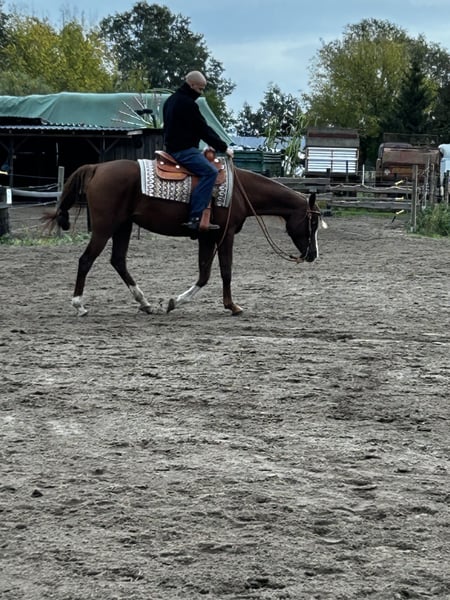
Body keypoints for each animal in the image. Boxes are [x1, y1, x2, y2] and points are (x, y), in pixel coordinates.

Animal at [43, 157, 325, 316]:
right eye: (312, 222)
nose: (313, 255)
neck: (240, 190)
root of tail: (97, 167)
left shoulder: (206, 237)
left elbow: (204, 274)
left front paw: (172, 303)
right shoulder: (225, 234)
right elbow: (225, 271)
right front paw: (232, 306)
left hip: (123, 226)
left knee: (118, 261)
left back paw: (145, 303)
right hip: (104, 227)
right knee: (86, 260)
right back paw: (79, 305)